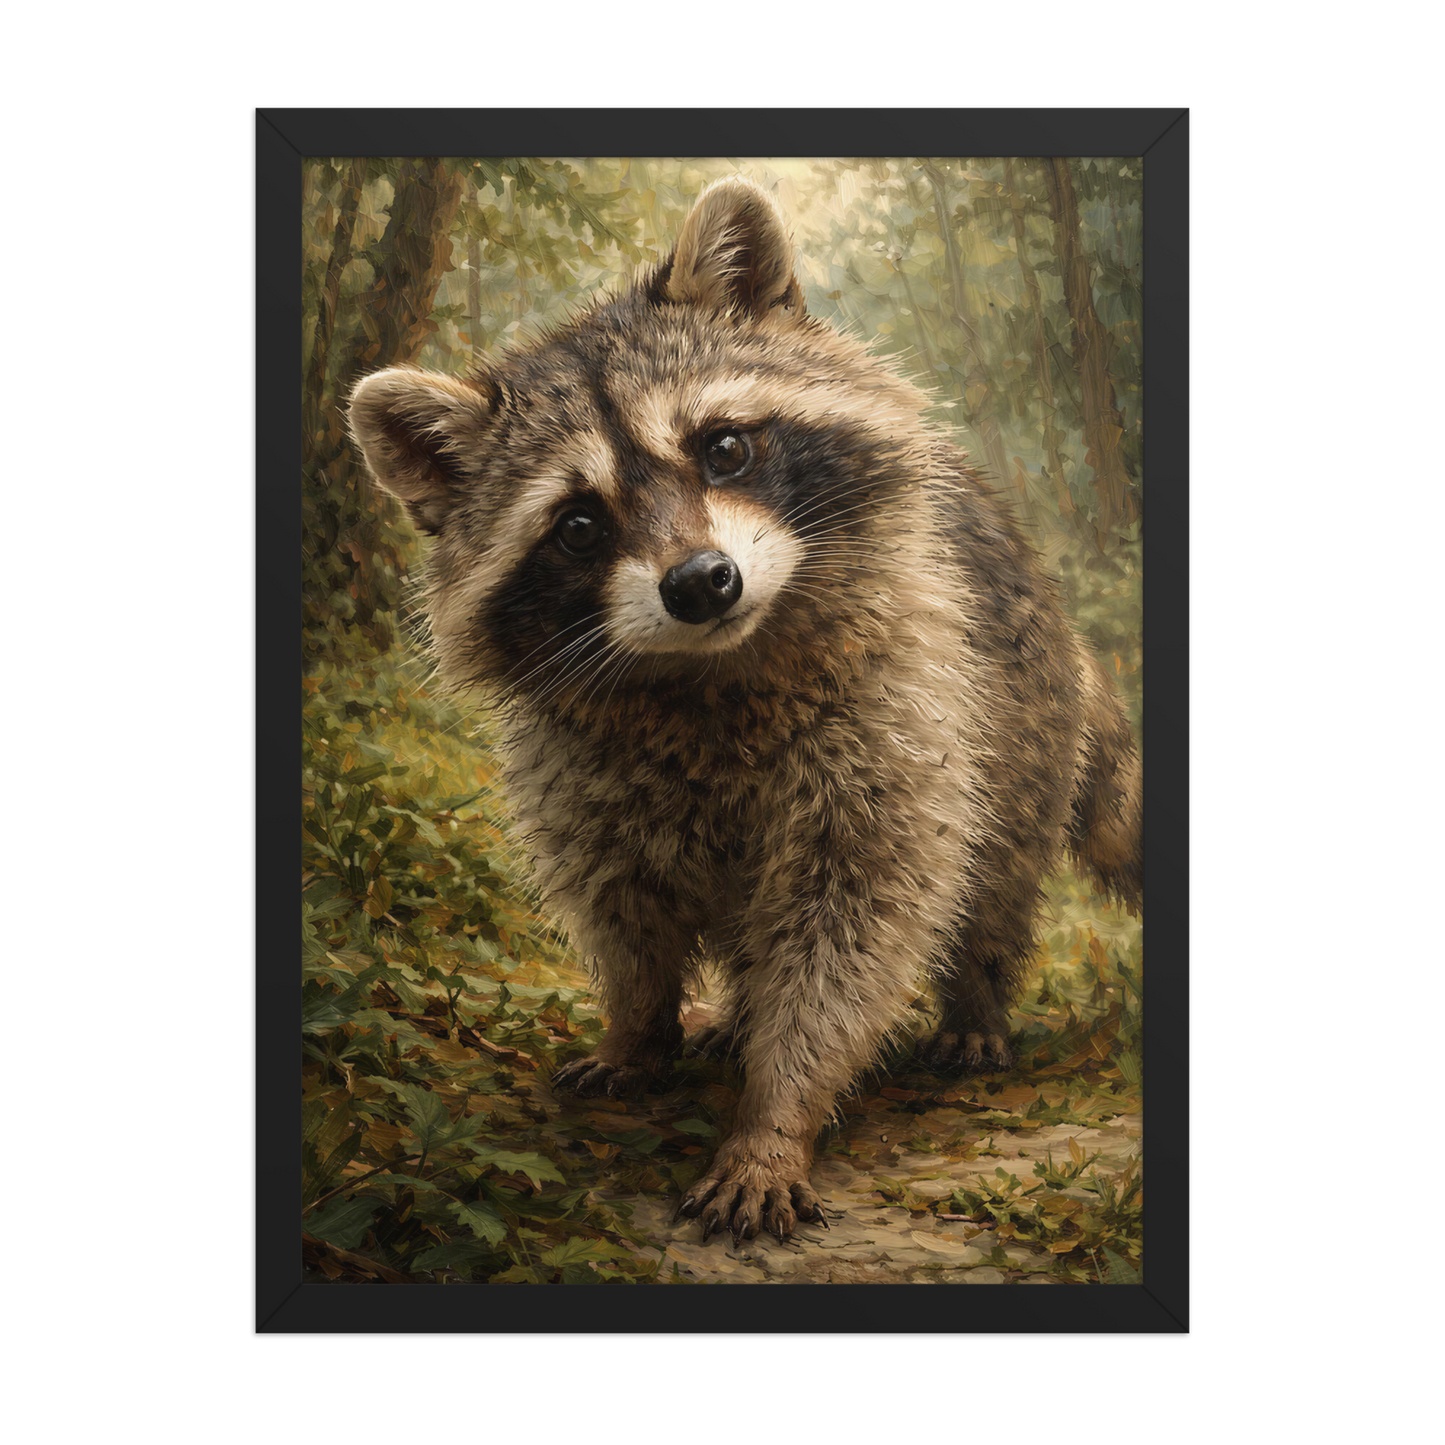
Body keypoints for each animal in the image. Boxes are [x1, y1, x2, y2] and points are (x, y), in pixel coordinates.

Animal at [348, 176, 1142, 1246]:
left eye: (723, 447)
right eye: (578, 524)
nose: (700, 582)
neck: (710, 672)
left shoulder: (898, 713)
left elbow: (851, 928)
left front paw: (775, 1116)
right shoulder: (577, 770)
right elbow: (622, 908)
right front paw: (638, 1026)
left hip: (1019, 718)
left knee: (994, 875)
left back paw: (974, 999)